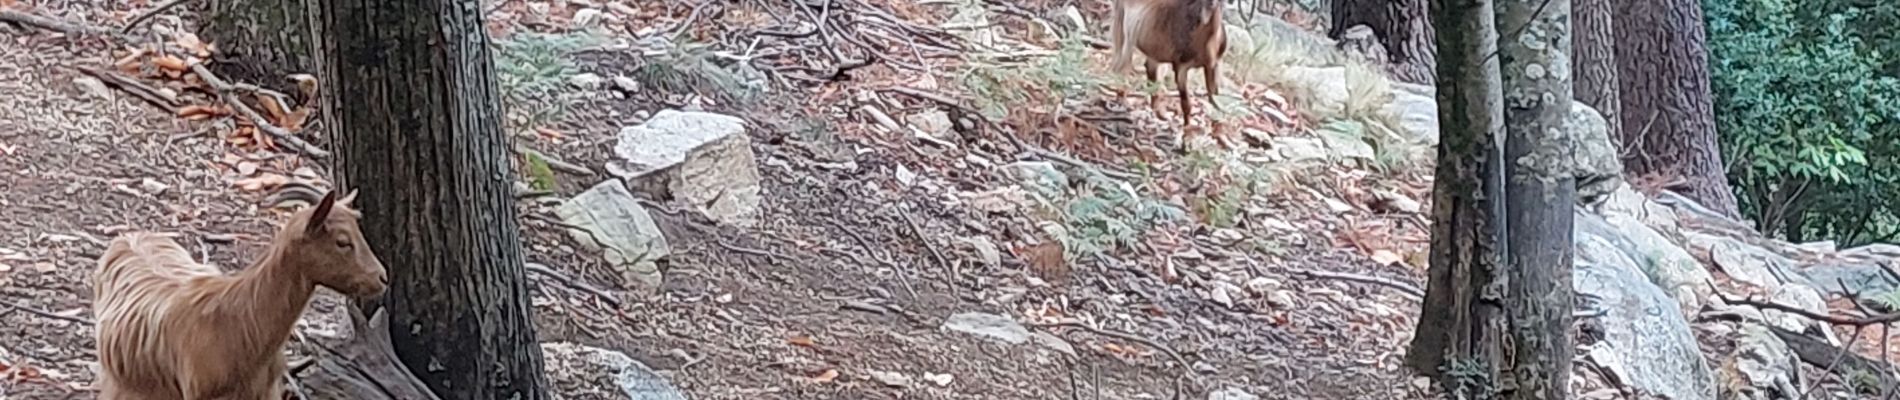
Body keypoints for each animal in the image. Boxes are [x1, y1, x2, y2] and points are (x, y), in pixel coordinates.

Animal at [1109, 0, 1223, 129]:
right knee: (1122, 65)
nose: (1204, 16)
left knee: (1150, 69)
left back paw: (1159, 112)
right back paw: (1122, 100)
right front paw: (1187, 129)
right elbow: (1186, 103)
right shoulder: (1181, 67)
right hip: (1125, 31)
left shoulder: (1212, 66)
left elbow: (1215, 99)